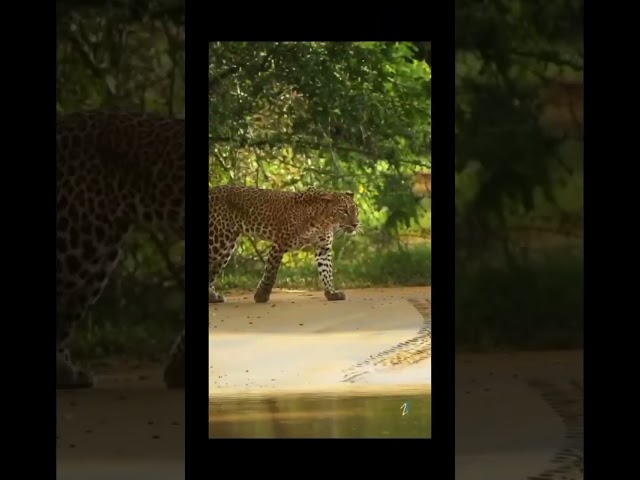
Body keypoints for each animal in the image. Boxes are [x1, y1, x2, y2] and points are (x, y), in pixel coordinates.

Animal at [210, 185, 360, 304]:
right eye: (344, 211)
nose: (356, 224)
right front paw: (261, 296)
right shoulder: (279, 244)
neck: (324, 221)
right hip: (217, 240)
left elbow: (326, 271)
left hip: (226, 245)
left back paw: (213, 297)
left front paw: (331, 293)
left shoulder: (323, 248)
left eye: (356, 210)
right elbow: (271, 273)